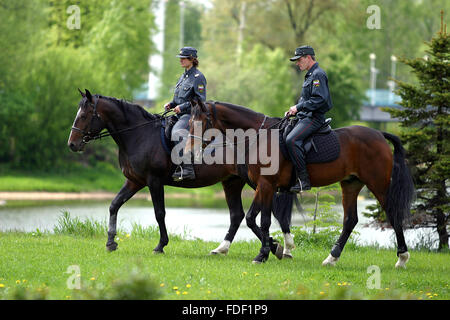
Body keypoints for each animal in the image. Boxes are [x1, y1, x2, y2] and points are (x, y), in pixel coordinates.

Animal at [67, 89, 292, 258]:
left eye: (84, 116)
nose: (72, 144)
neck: (139, 135)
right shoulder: (134, 181)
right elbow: (114, 205)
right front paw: (110, 242)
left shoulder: (153, 181)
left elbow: (159, 213)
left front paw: (160, 245)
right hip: (232, 182)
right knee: (237, 215)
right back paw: (237, 248)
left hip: (258, 182)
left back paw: (277, 247)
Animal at [185, 100, 414, 268]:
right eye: (189, 123)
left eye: (202, 121)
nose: (189, 151)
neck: (261, 137)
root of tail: (378, 134)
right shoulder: (262, 186)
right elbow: (254, 219)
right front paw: (272, 249)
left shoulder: (266, 185)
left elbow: (261, 220)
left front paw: (265, 253)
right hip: (351, 184)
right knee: (350, 220)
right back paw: (332, 258)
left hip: (377, 184)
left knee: (393, 214)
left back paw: (402, 258)